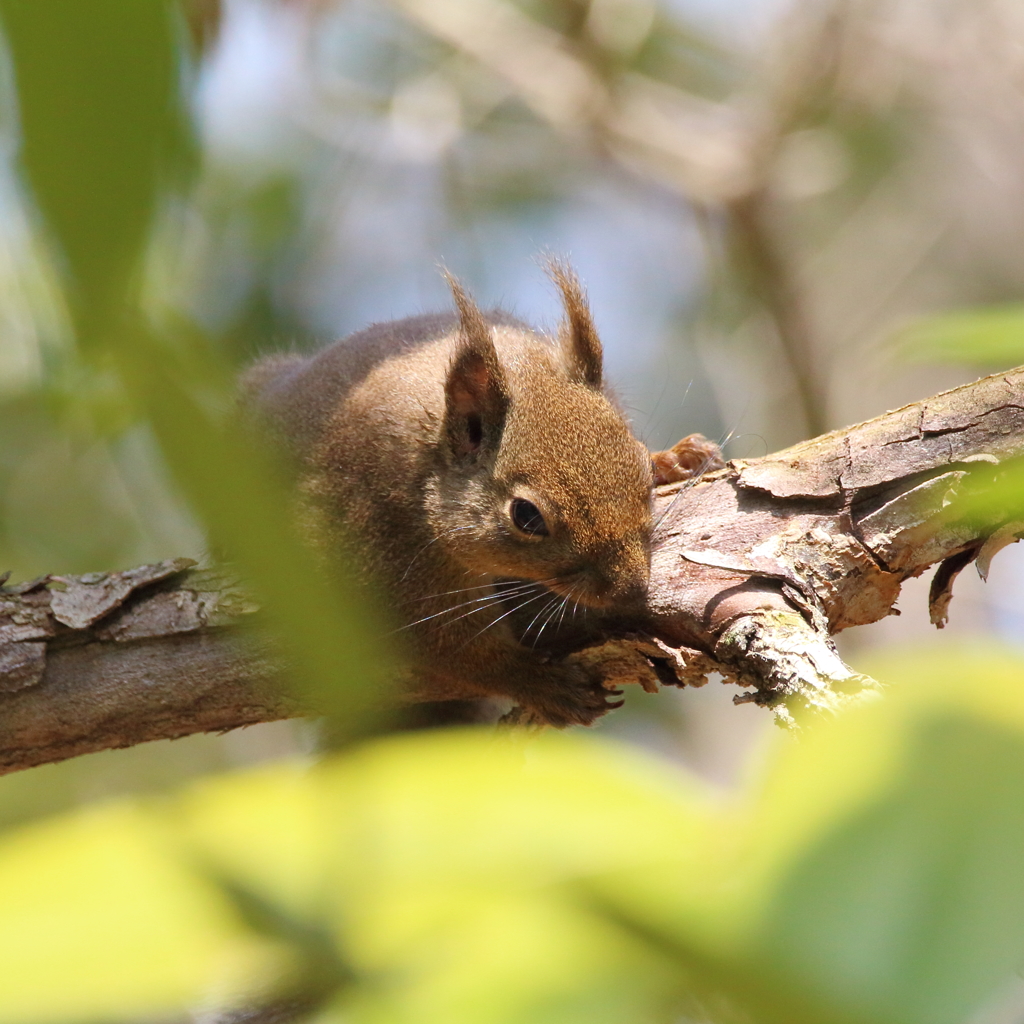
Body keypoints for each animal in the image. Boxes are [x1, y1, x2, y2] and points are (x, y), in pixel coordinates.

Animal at [239, 264, 720, 729]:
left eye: (638, 465)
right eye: (526, 517)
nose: (630, 590)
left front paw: (676, 458)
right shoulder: (387, 550)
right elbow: (453, 648)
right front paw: (544, 685)